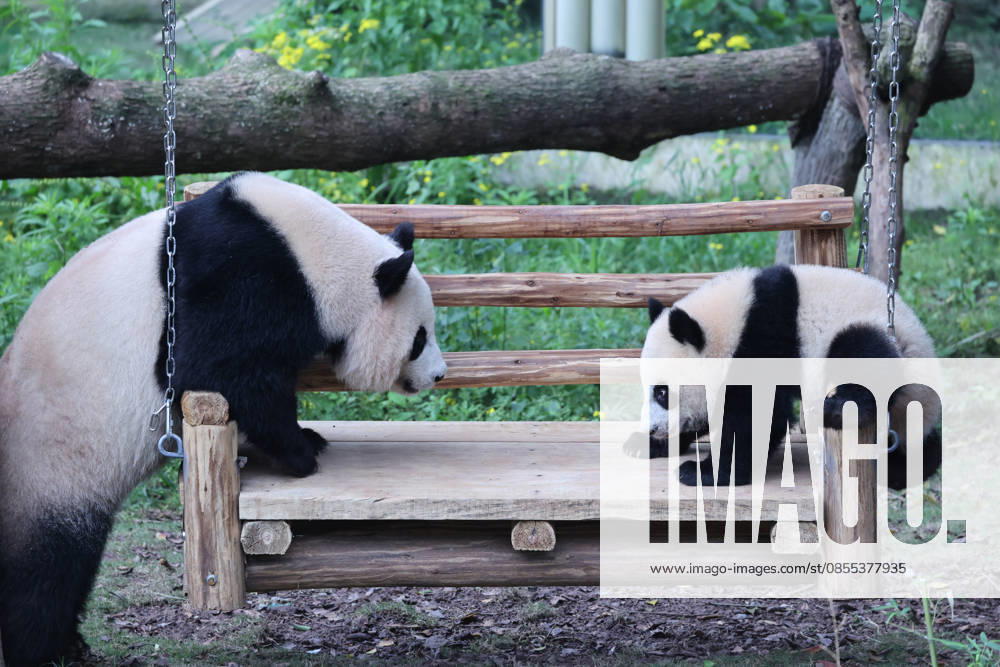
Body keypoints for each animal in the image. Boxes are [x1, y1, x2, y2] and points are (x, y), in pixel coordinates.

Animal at [0, 172, 447, 665]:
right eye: (419, 338)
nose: (439, 374)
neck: (316, 255)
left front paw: (304, 439)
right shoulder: (236, 279)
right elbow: (221, 370)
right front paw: (300, 454)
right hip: (49, 463)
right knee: (47, 568)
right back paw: (44, 649)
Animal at [641, 264, 941, 490]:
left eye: (662, 393)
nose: (654, 429)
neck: (731, 325)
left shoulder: (762, 342)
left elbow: (754, 417)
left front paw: (700, 471)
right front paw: (650, 445)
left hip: (883, 340)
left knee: (863, 352)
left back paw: (838, 407)